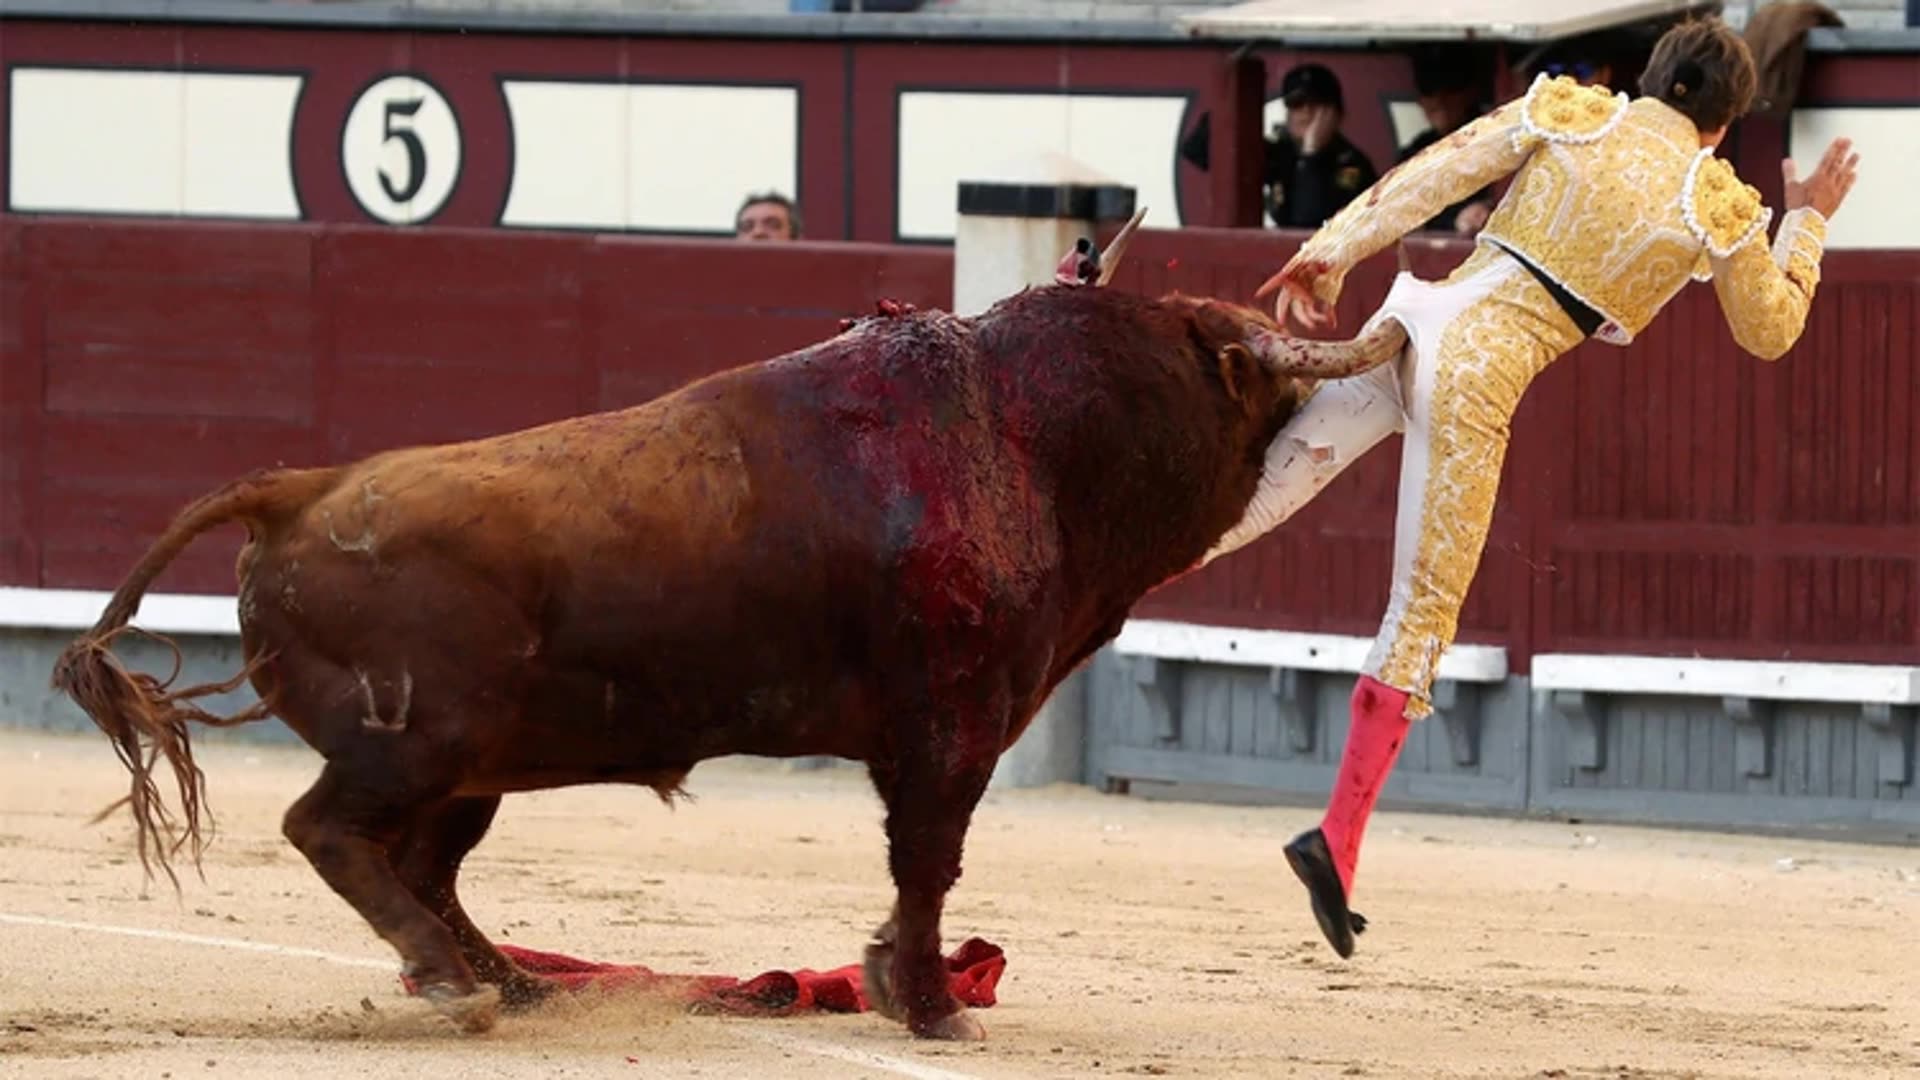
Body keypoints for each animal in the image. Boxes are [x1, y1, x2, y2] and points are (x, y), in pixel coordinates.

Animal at [52, 231, 1405, 1037]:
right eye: (1249, 380)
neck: (1036, 440)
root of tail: (298, 487)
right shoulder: (948, 730)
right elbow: (929, 865)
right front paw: (932, 1007)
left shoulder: (938, 737)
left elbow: (919, 871)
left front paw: (892, 983)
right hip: (419, 741)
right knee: (330, 831)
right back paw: (454, 984)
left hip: (475, 765)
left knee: (424, 865)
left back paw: (508, 980)